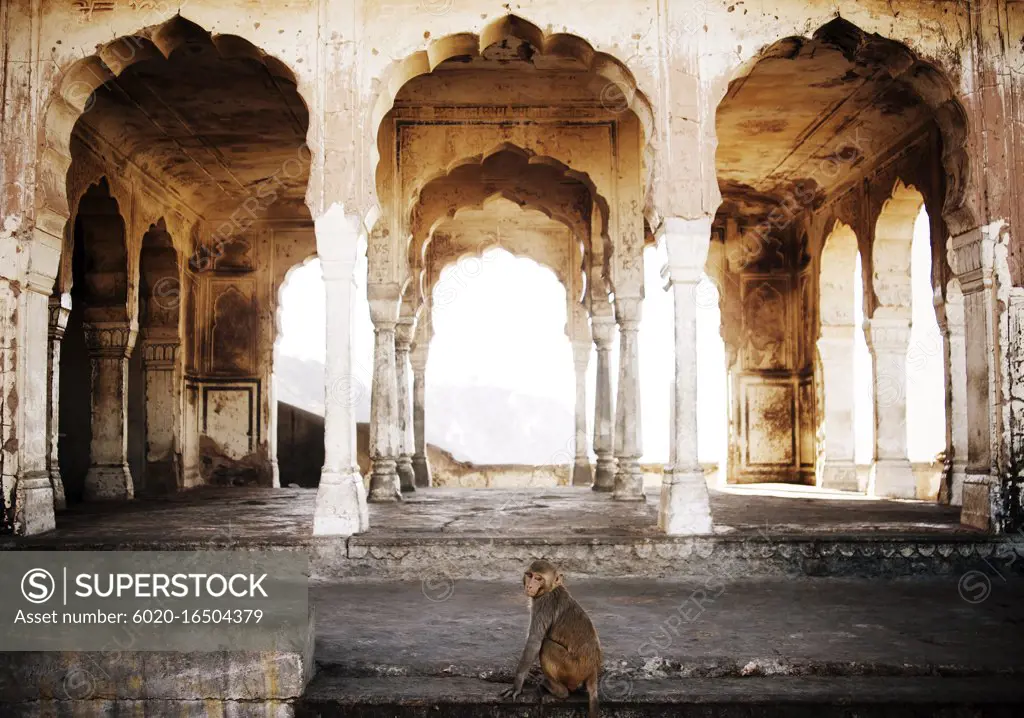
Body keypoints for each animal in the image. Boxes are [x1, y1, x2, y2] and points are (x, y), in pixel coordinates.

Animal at [501, 561, 598, 716]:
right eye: (529, 575)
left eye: (538, 578)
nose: (530, 586)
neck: (551, 589)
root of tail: (593, 670)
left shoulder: (543, 604)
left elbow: (535, 642)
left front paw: (517, 686)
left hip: (573, 669)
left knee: (546, 645)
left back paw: (558, 690)